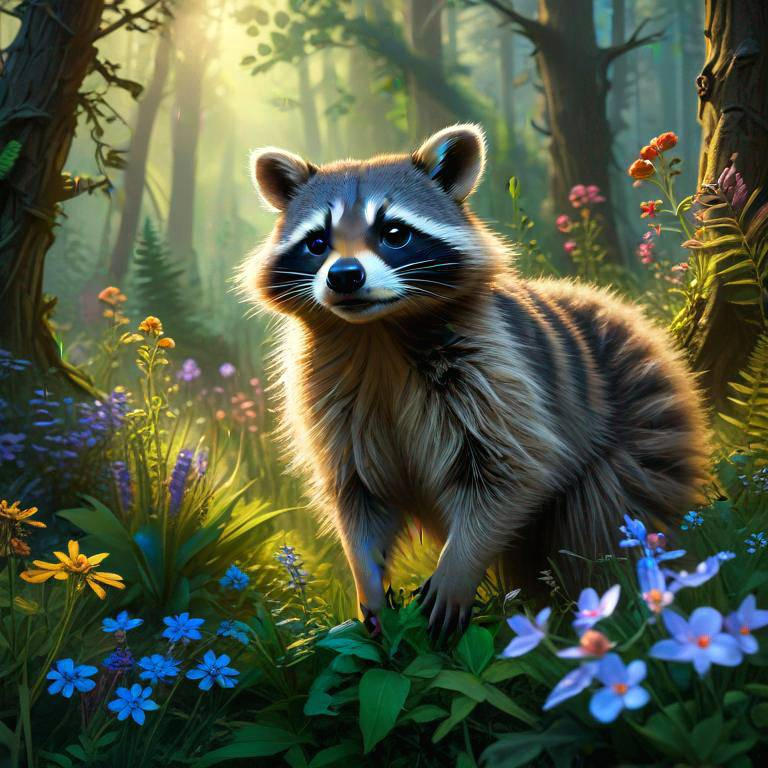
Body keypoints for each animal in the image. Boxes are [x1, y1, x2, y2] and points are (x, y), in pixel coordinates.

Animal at [241, 124, 710, 639]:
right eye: (318, 242)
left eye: (394, 233)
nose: (345, 276)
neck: (376, 332)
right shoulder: (329, 398)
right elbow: (357, 493)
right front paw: (366, 580)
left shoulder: (496, 368)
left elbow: (511, 469)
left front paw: (457, 568)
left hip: (643, 431)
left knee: (604, 520)